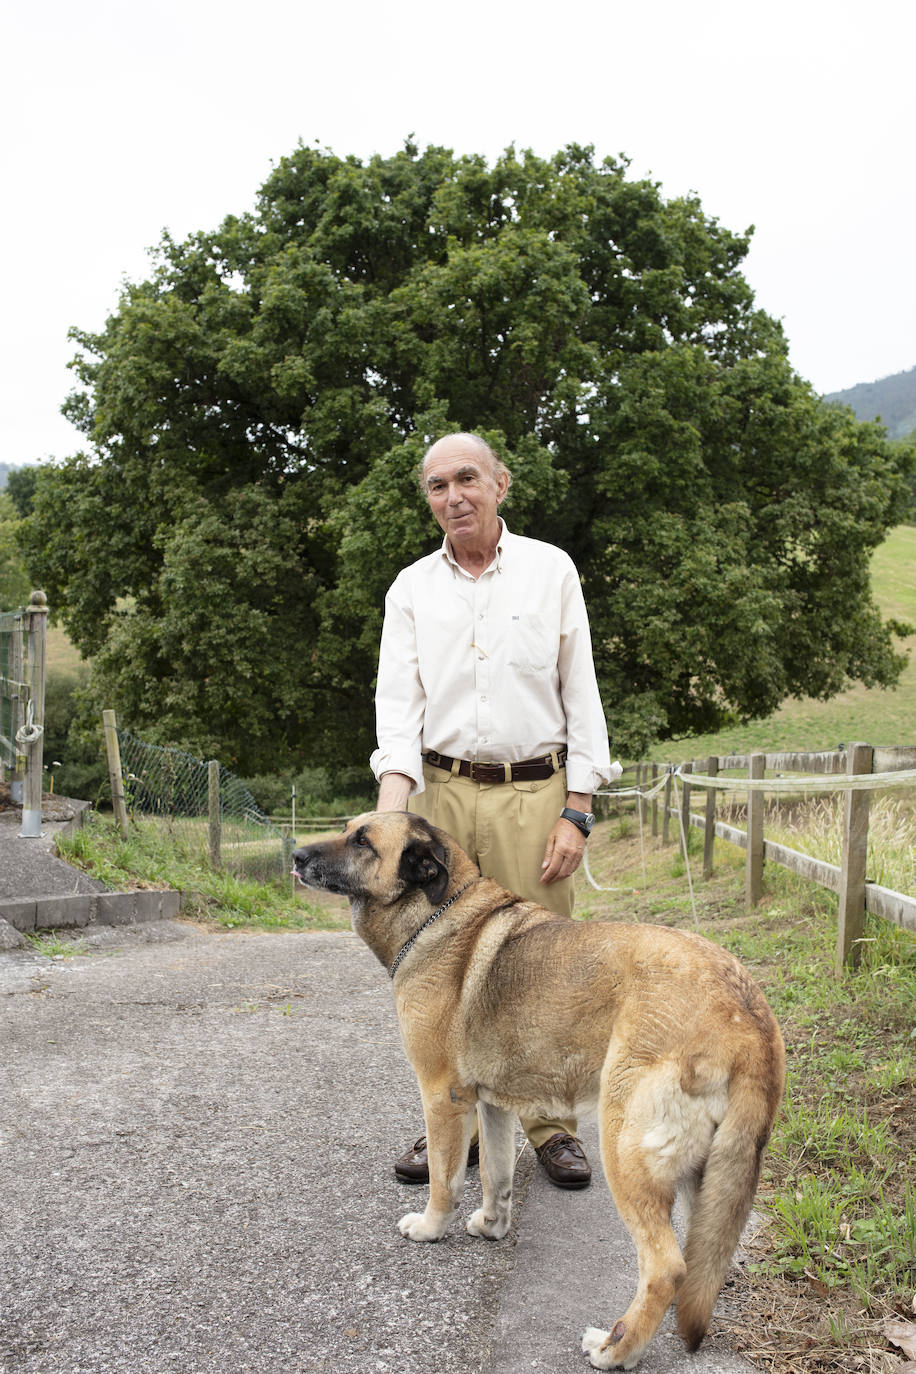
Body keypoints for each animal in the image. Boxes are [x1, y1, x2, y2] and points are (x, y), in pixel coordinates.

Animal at [292, 807, 780, 1368]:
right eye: (347, 828)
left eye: (363, 842)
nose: (296, 856)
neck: (435, 914)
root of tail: (747, 1011)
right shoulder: (493, 1107)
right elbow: (496, 1178)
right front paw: (492, 1226)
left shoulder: (442, 1098)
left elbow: (444, 1179)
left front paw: (431, 1228)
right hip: (708, 1181)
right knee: (698, 1264)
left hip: (623, 1147)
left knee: (666, 1268)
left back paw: (616, 1349)